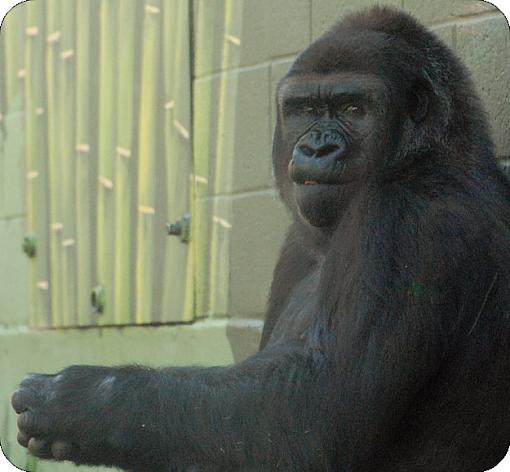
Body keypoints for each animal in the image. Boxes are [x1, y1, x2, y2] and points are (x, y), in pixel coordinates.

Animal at [10, 4, 510, 472]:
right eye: (304, 110)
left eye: (354, 108)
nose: (317, 147)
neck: (434, 153)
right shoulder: (295, 246)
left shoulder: (403, 219)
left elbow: (315, 410)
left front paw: (82, 400)